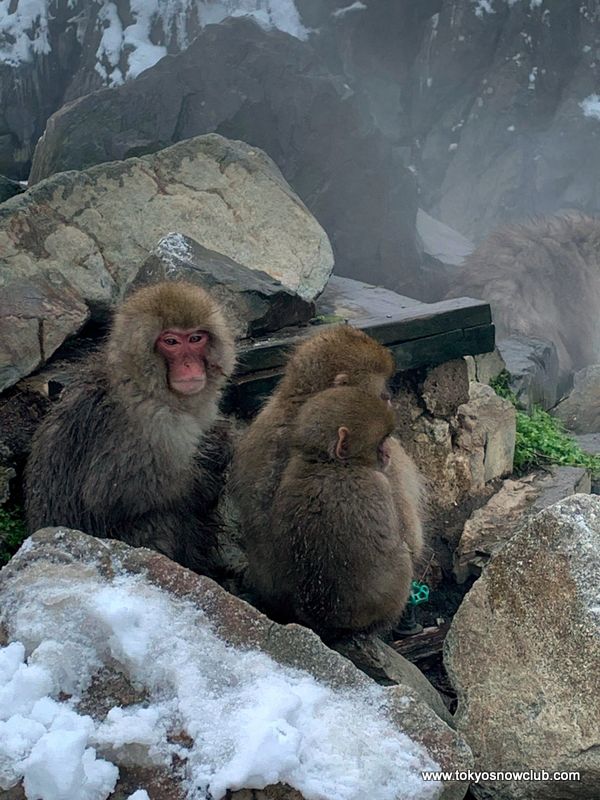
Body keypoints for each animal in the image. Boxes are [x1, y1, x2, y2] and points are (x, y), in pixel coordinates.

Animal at [25, 281, 236, 577]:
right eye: (171, 342)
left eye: (196, 339)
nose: (189, 366)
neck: (143, 384)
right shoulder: (150, 423)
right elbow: (111, 494)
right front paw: (211, 467)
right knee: (162, 520)